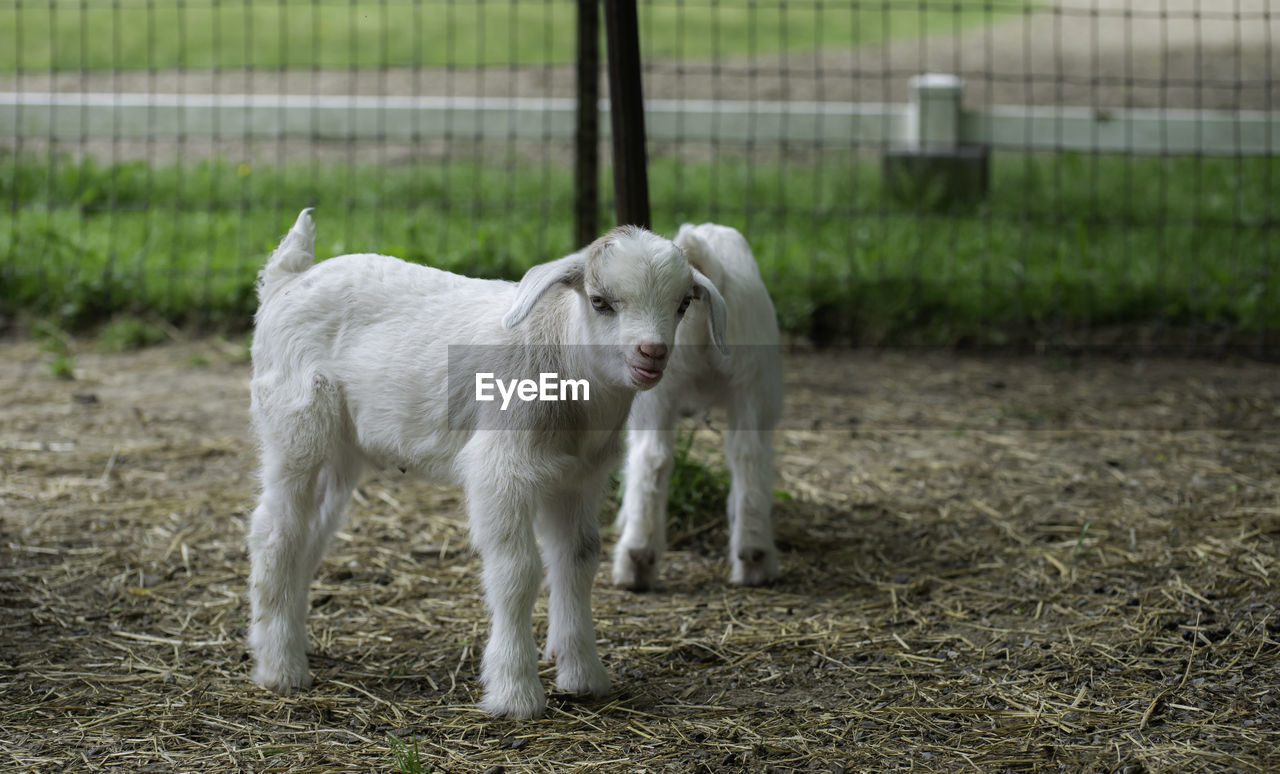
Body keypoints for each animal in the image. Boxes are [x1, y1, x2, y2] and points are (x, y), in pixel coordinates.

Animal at [245, 208, 727, 716]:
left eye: (682, 304)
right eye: (600, 302)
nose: (652, 354)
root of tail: (286, 279)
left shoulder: (580, 479)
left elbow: (578, 561)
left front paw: (584, 676)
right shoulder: (501, 470)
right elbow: (517, 570)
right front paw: (516, 693)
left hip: (342, 450)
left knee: (310, 536)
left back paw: (289, 644)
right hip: (297, 424)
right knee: (274, 532)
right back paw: (281, 669)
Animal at [606, 223, 778, 591]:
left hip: (657, 385)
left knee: (650, 457)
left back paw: (636, 558)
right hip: (752, 380)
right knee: (747, 453)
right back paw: (753, 555)